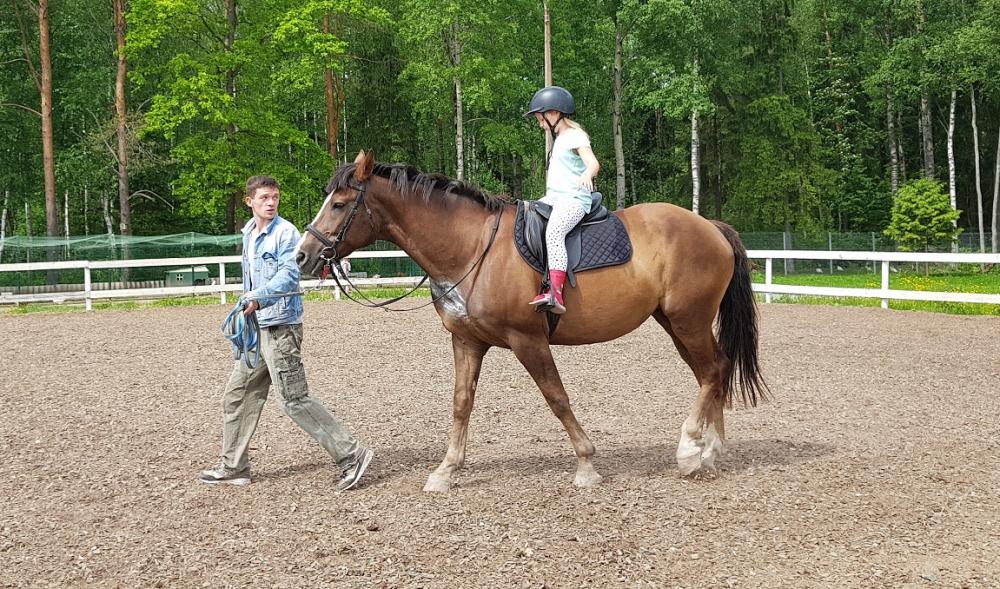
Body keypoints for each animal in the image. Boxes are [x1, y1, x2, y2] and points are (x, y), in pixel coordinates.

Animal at [295, 150, 768, 492]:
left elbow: (556, 398)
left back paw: (691, 450)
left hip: (688, 320)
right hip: (675, 323)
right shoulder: (466, 342)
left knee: (713, 371)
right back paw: (709, 451)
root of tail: (709, 226)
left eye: (339, 204)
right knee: (714, 372)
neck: (472, 248)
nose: (303, 255)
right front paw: (446, 470)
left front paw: (586, 466)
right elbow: (461, 403)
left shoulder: (528, 341)